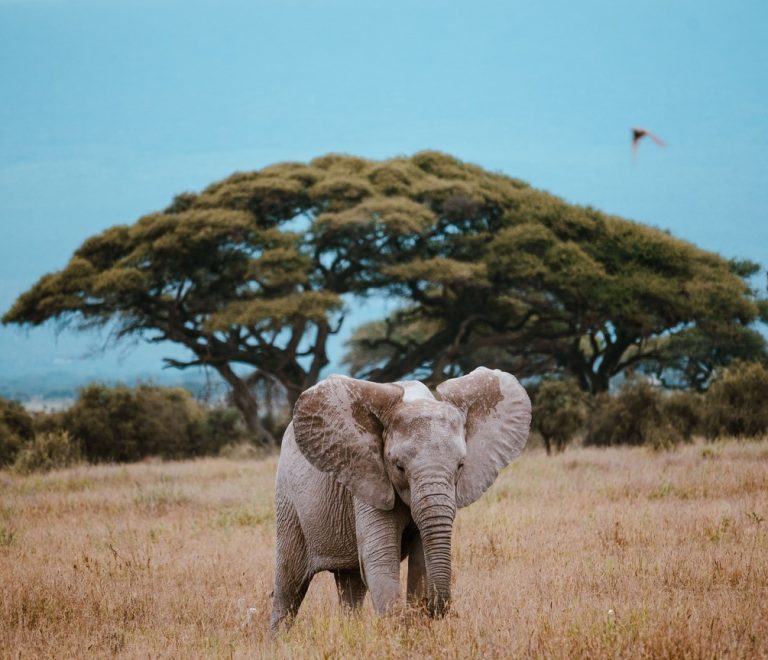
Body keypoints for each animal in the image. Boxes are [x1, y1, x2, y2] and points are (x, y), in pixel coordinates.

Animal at [270, 366, 531, 632]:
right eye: (399, 467)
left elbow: (420, 558)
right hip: (287, 500)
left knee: (351, 584)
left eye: (460, 466)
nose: (438, 609)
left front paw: (417, 626)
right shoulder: (369, 474)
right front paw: (398, 631)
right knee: (289, 583)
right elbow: (380, 556)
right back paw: (280, 638)